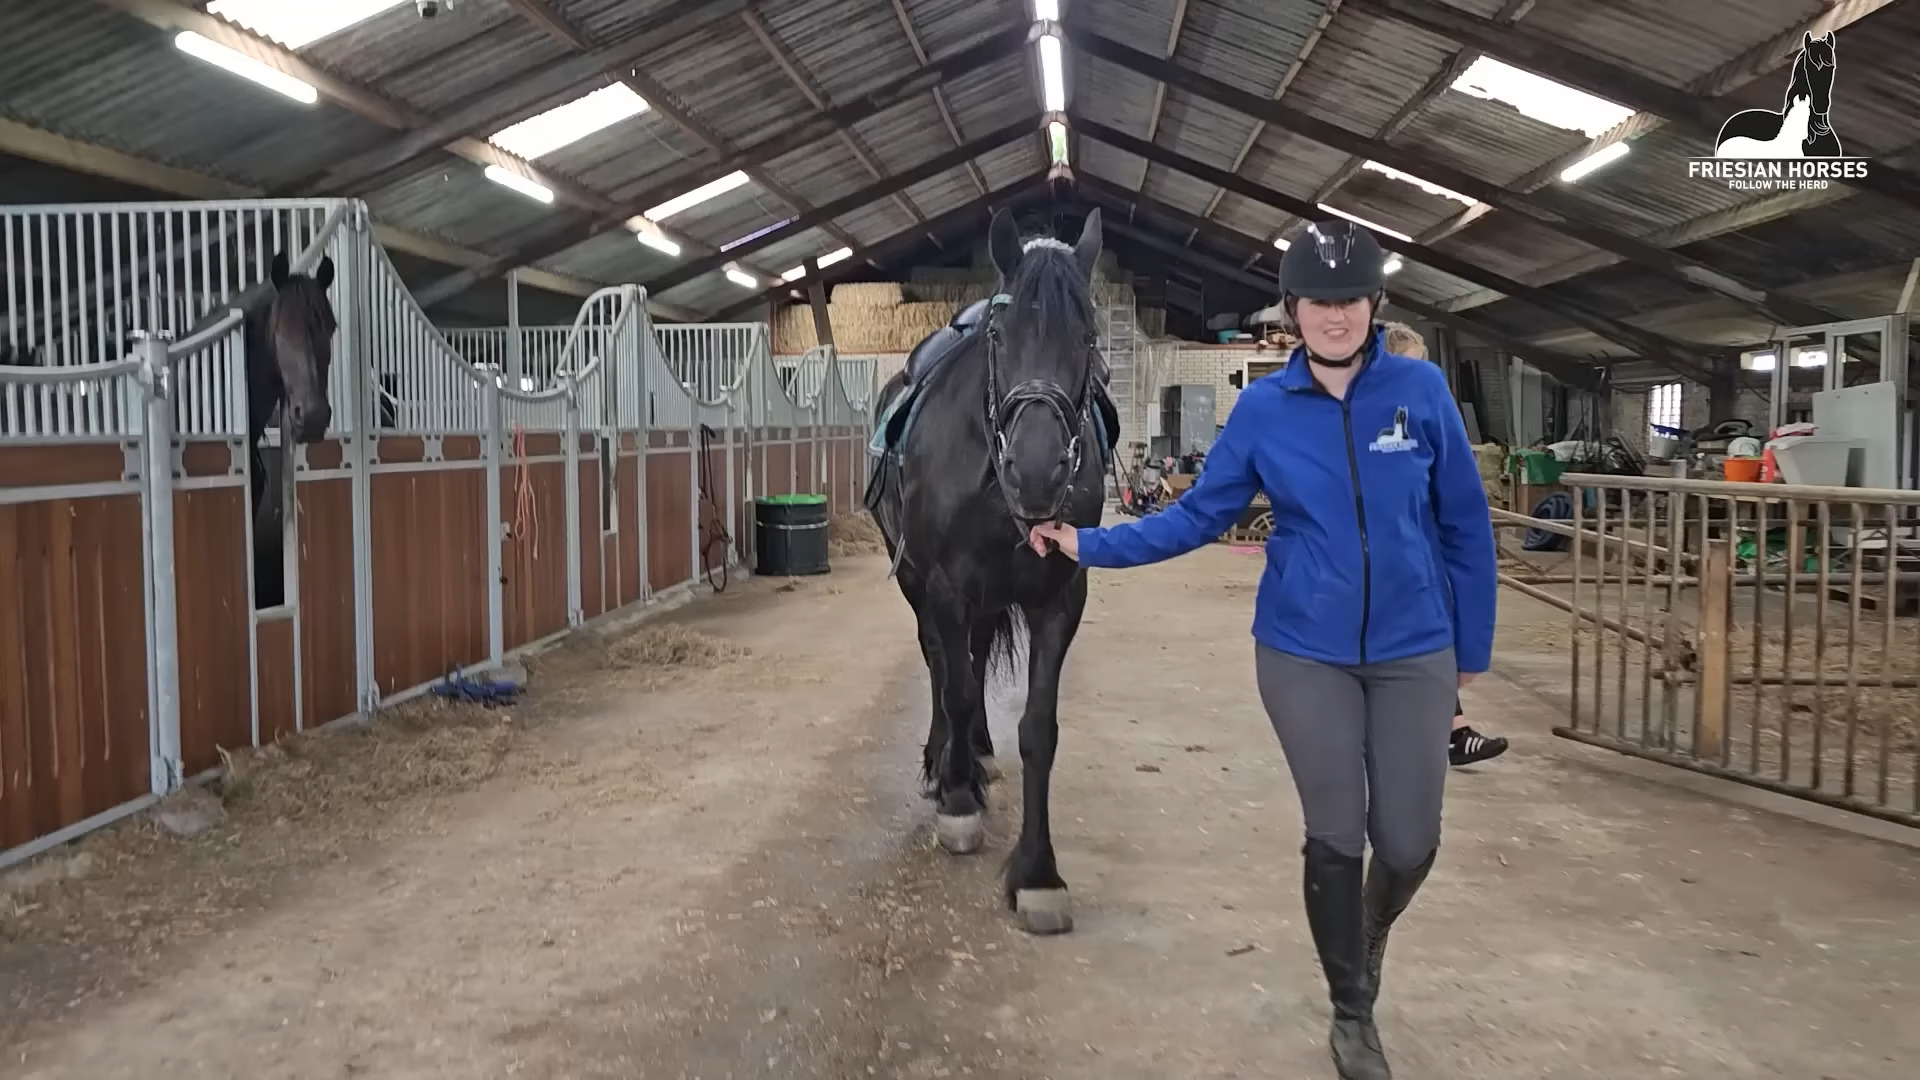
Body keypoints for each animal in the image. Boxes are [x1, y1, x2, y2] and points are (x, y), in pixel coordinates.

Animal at [867, 205, 1121, 930]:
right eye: (1001, 337)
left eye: (1087, 336)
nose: (1036, 474)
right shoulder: (945, 587)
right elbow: (951, 687)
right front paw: (956, 804)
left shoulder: (1060, 596)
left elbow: (1038, 727)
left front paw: (1037, 873)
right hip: (918, 583)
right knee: (939, 662)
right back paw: (946, 762)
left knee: (974, 659)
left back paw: (975, 750)